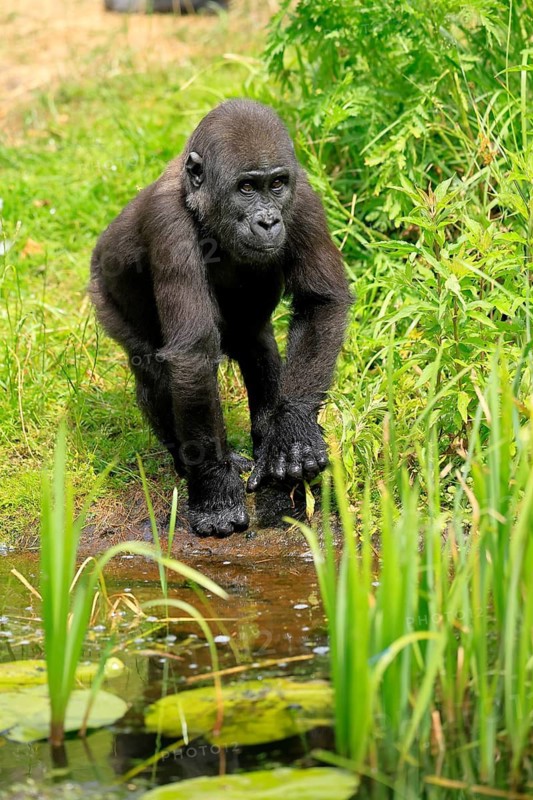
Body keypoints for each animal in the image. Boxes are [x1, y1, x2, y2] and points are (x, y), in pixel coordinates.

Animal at [90, 99, 351, 537]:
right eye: (245, 188)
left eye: (276, 185)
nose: (268, 221)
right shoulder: (169, 225)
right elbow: (193, 355)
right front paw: (214, 491)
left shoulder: (302, 199)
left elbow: (320, 302)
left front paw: (294, 432)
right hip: (103, 293)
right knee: (154, 368)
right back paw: (191, 462)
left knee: (256, 343)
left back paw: (268, 442)